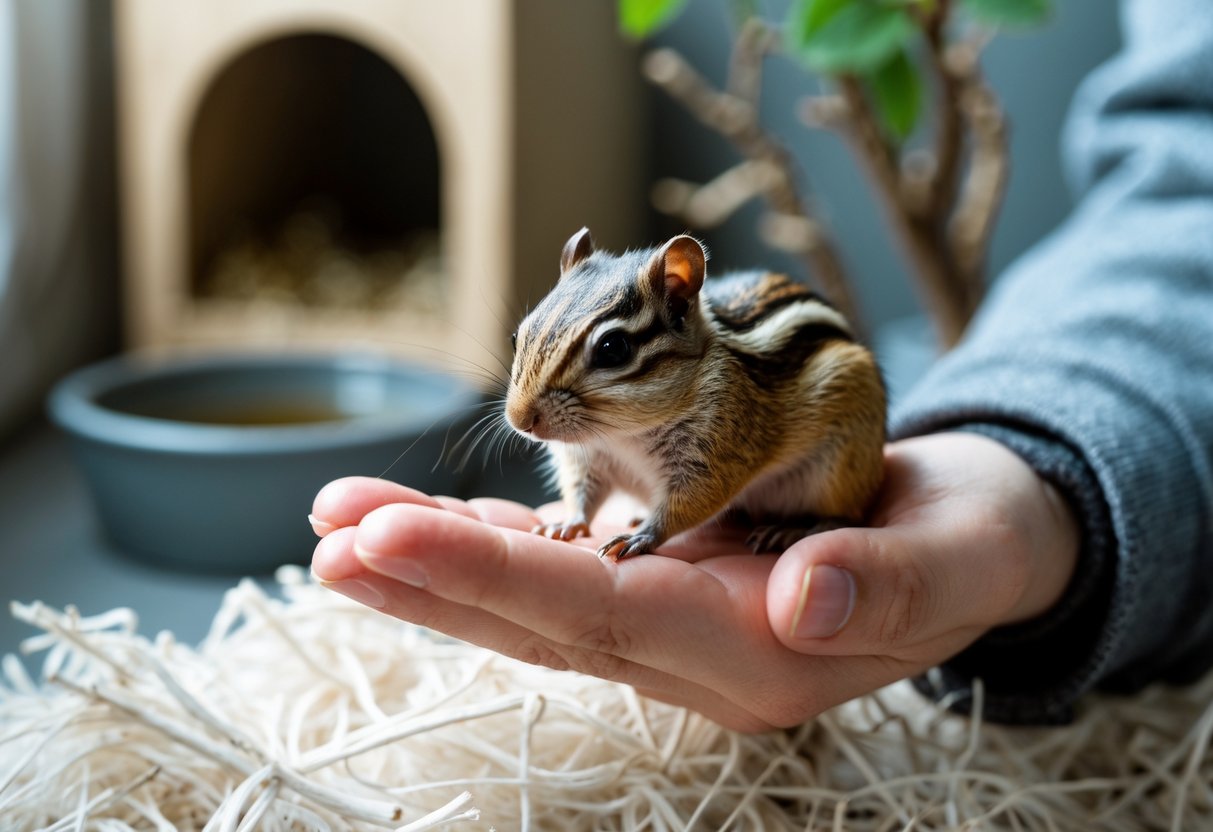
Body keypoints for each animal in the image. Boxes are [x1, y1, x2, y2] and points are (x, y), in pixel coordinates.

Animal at [504, 227, 887, 561]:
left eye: (613, 349)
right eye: (517, 336)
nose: (519, 420)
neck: (622, 435)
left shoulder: (716, 452)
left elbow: (692, 501)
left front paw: (642, 535)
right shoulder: (587, 458)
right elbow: (583, 492)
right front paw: (567, 522)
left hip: (842, 468)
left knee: (848, 515)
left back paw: (795, 530)